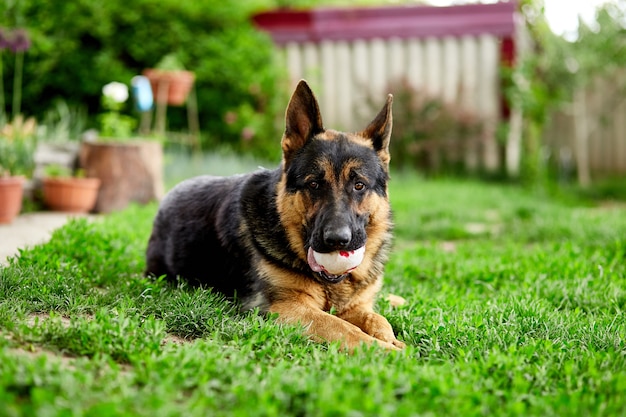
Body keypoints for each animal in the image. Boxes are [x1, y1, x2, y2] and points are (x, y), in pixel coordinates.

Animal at [144, 79, 402, 350]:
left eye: (359, 185)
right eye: (313, 184)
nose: (337, 240)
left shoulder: (355, 306)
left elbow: (378, 319)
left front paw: (394, 341)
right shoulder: (289, 309)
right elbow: (346, 329)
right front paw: (388, 352)